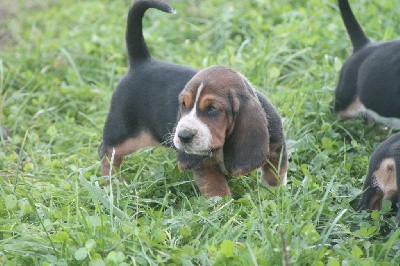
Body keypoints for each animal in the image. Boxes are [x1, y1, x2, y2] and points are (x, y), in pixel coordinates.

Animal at [173, 64, 288, 197]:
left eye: (212, 109)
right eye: (183, 104)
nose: (183, 135)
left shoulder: (276, 144)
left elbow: (275, 170)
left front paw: (273, 191)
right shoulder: (203, 162)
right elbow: (214, 185)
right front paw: (222, 201)